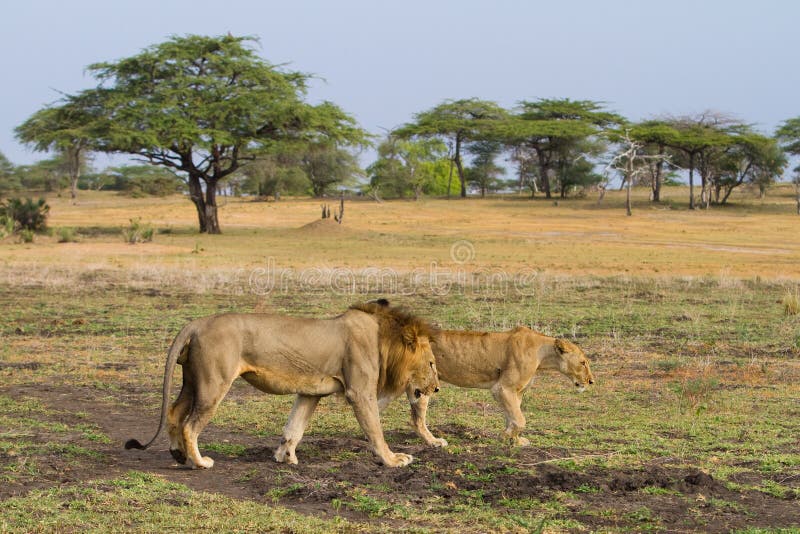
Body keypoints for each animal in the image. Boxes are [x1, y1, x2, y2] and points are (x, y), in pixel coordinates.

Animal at [126, 304, 438, 472]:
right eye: (432, 363)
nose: (436, 389)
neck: (383, 341)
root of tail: (197, 322)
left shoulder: (311, 392)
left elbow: (294, 426)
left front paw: (284, 456)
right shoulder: (359, 392)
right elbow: (375, 430)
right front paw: (393, 459)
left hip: (192, 380)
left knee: (174, 413)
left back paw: (178, 455)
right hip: (213, 383)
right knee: (190, 424)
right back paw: (199, 462)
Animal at [410, 326, 592, 448]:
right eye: (583, 363)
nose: (591, 381)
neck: (542, 354)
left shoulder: (516, 392)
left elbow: (512, 416)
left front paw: (514, 440)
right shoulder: (503, 388)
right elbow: (520, 420)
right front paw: (505, 436)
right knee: (418, 419)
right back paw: (434, 442)